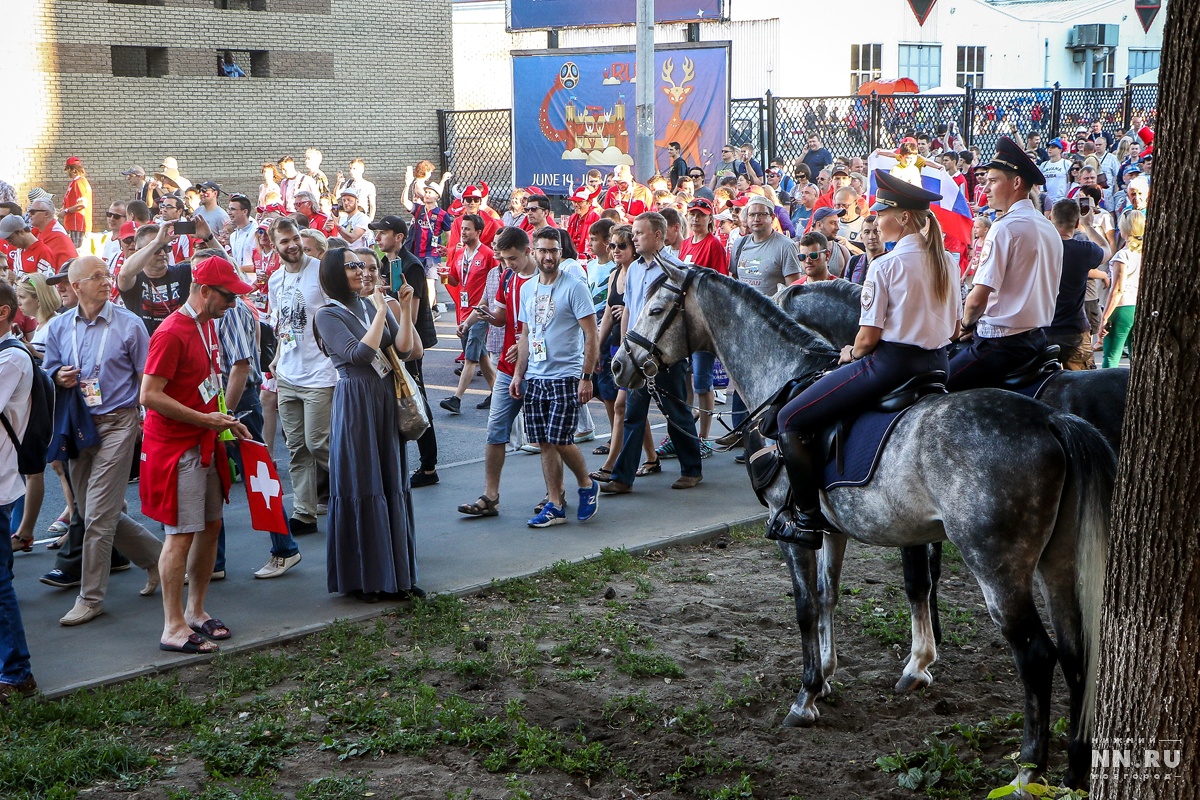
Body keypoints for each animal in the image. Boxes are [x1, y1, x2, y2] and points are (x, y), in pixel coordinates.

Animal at [614, 263, 1118, 786]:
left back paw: (1027, 771)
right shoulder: (831, 529)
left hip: (998, 569)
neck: (785, 380)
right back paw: (1074, 768)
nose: (617, 366)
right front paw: (828, 676)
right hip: (1058, 562)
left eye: (656, 309)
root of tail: (1051, 420)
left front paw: (807, 695)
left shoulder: (793, 536)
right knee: (1077, 650)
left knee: (1037, 655)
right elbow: (829, 595)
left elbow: (807, 607)